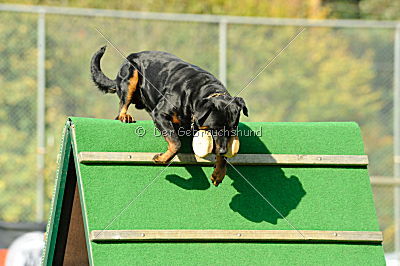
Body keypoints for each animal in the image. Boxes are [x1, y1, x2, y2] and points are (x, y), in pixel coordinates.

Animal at [90, 45, 247, 186]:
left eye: (232, 130)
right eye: (215, 129)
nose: (223, 151)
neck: (199, 94)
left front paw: (219, 172)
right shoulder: (160, 114)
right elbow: (176, 143)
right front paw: (161, 158)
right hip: (131, 75)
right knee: (123, 104)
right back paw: (124, 116)